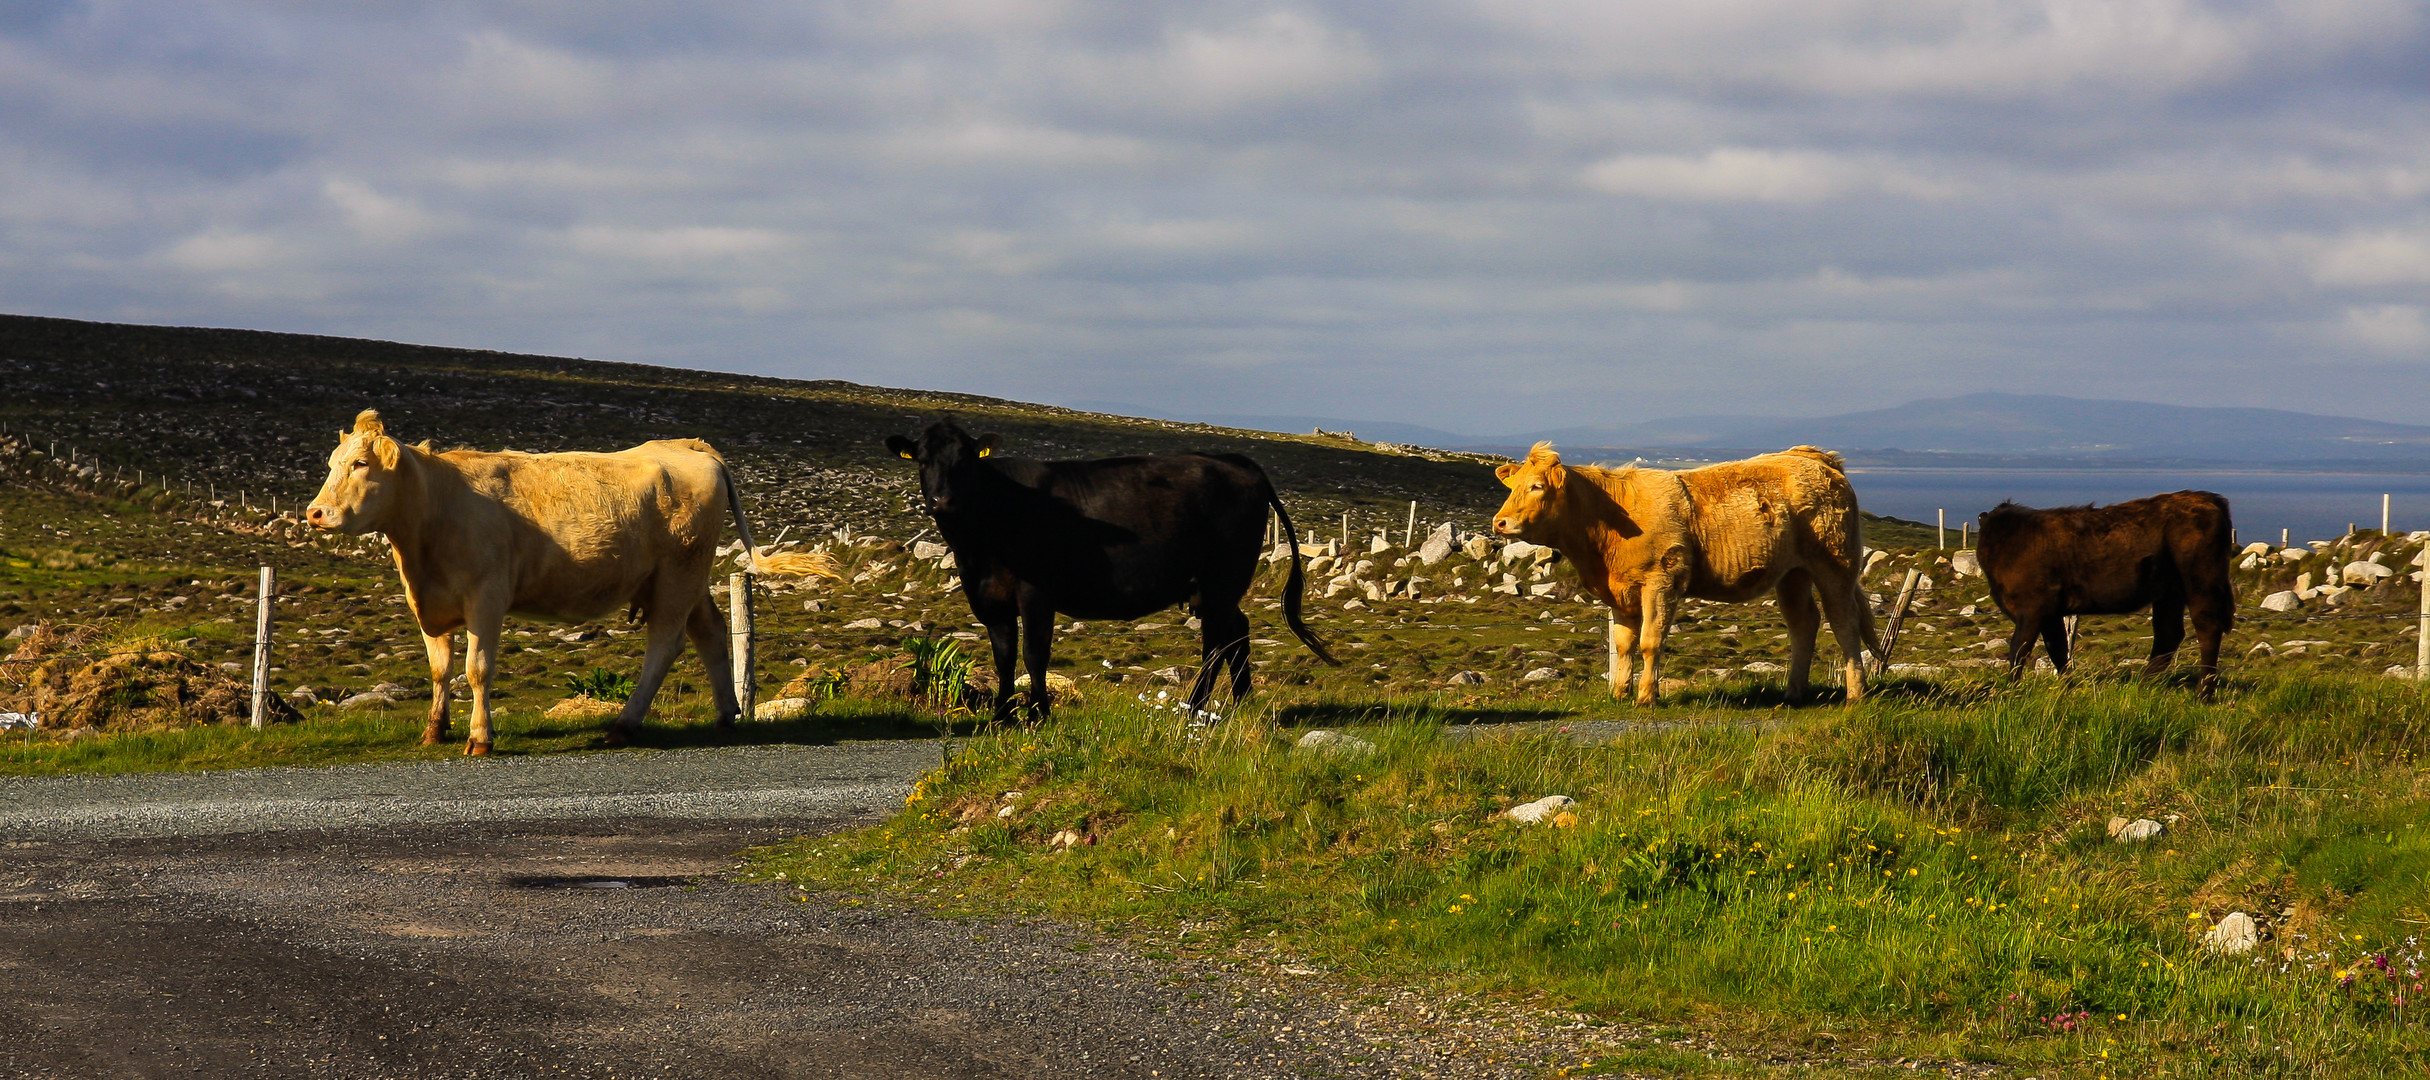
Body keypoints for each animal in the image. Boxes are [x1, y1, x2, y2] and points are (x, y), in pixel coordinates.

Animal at [303, 408, 840, 754]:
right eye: (331, 463)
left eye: (360, 463)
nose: (314, 512)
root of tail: (690, 447)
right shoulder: (430, 604)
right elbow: (439, 670)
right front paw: (435, 731)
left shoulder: (487, 597)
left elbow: (477, 669)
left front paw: (480, 738)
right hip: (681, 577)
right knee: (708, 630)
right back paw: (725, 716)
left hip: (679, 572)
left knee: (665, 644)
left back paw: (625, 726)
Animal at [884, 418, 1331, 720]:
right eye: (922, 461)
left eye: (964, 461)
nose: (941, 500)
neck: (978, 546)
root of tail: (1233, 460)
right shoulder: (988, 599)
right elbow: (1004, 657)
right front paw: (1001, 716)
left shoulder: (1036, 592)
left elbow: (1034, 654)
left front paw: (1039, 714)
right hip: (1213, 586)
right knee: (1234, 632)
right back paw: (1234, 704)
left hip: (1223, 578)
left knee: (1219, 639)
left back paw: (1197, 707)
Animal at [1487, 440, 1885, 705]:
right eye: (1512, 486)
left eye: (1537, 486)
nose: (1499, 522)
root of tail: (1813, 457)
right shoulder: (1619, 593)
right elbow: (1623, 644)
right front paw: (1619, 692)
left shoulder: (1662, 581)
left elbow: (1650, 642)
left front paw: (1646, 697)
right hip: (1793, 573)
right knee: (1804, 622)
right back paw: (1793, 692)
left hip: (1835, 563)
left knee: (1844, 621)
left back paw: (1855, 693)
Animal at [1973, 491, 2235, 695]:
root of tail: (2204, 497)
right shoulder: (2051, 614)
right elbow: (2057, 650)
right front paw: (2067, 689)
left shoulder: (2032, 609)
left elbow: (2019, 649)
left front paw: (2011, 690)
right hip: (2169, 591)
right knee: (2168, 633)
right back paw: (2141, 684)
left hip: (2201, 581)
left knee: (2207, 629)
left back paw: (2203, 694)